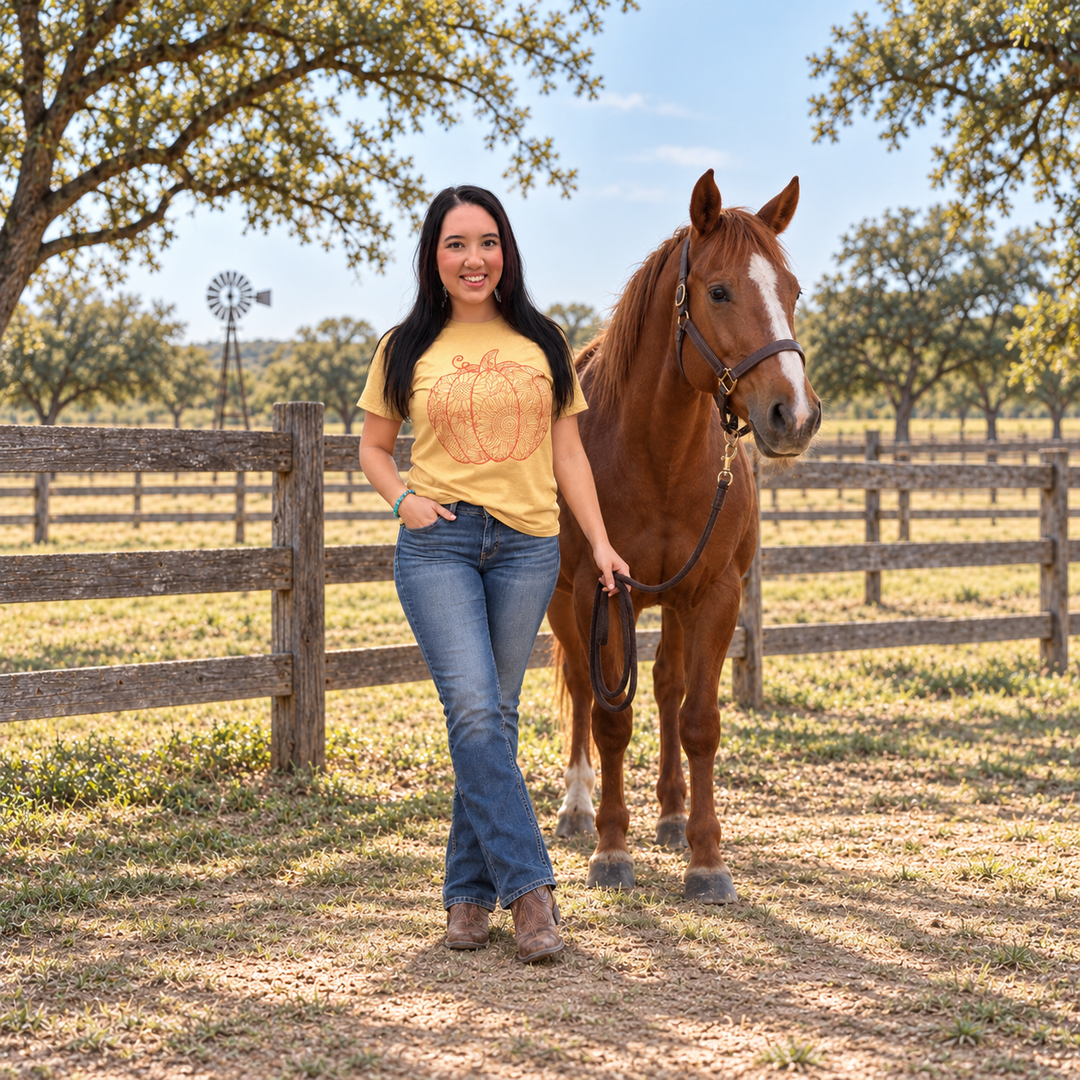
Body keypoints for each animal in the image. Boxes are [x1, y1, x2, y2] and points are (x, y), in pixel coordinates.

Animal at [548, 169, 821, 904]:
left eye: (793, 291)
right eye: (719, 290)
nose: (794, 415)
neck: (659, 454)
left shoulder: (715, 594)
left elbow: (699, 720)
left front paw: (705, 859)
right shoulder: (598, 593)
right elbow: (610, 719)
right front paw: (612, 850)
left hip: (672, 602)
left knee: (668, 686)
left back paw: (670, 814)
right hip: (561, 603)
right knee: (582, 690)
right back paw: (577, 807)